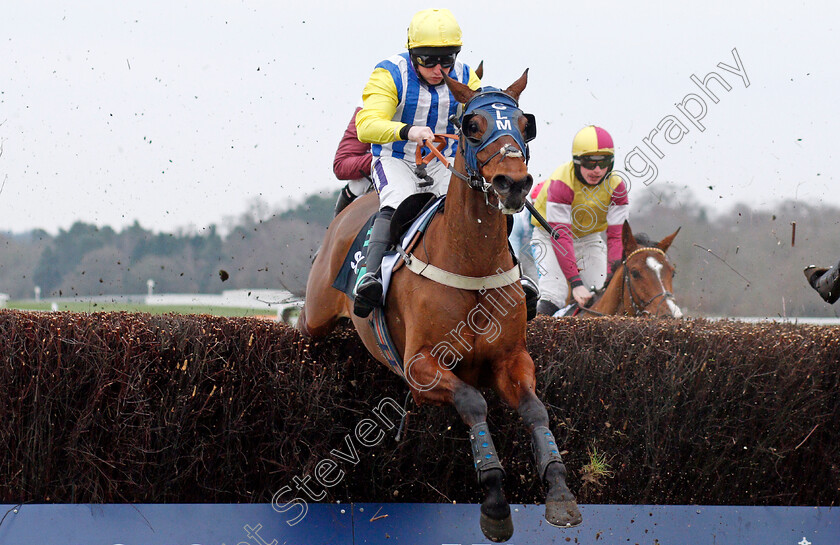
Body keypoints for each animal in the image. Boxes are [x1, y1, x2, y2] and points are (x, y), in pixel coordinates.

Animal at [302, 71, 584, 540]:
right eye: (471, 126)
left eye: (524, 125)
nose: (513, 183)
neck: (471, 264)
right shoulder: (421, 366)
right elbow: (473, 402)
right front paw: (494, 500)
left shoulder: (512, 358)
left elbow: (535, 410)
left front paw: (559, 490)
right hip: (315, 315)